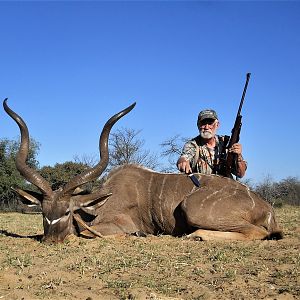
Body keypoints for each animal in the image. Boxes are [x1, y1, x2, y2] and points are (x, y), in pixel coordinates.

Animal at [3, 99, 282, 243]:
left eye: (67, 212)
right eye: (44, 212)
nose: (50, 240)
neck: (101, 203)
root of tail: (266, 208)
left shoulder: (118, 224)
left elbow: (85, 233)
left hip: (192, 208)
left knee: (258, 232)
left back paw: (195, 235)